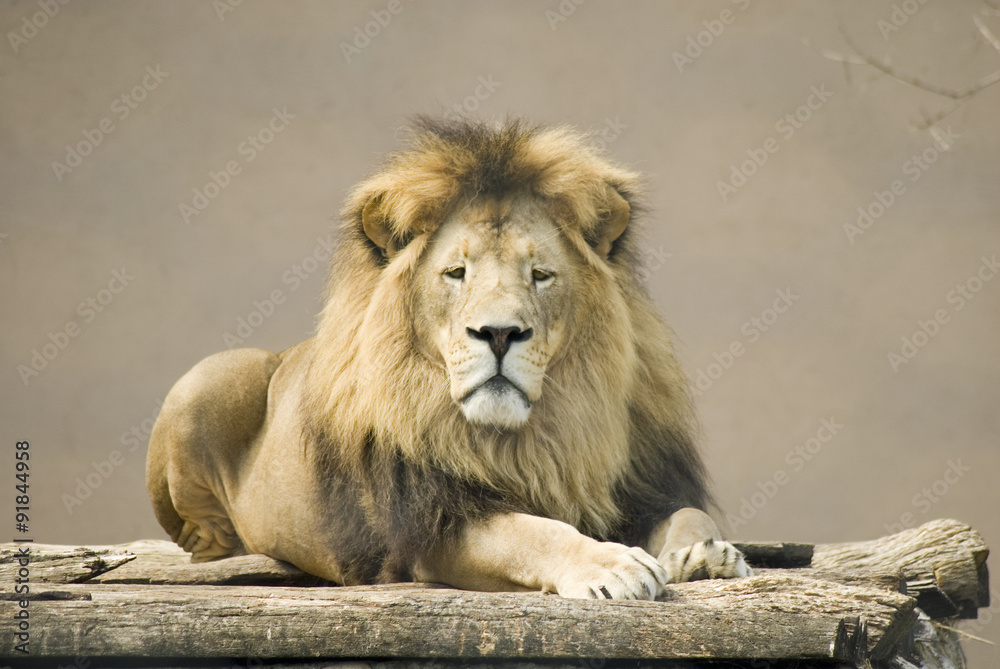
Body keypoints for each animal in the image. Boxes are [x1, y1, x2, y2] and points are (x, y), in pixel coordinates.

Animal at [146, 117, 751, 599]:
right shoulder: (432, 527)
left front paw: (705, 554)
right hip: (208, 377)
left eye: (541, 274)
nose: (500, 333)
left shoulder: (641, 488)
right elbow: (528, 532)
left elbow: (687, 513)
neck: (537, 438)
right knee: (199, 537)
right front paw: (611, 564)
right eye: (456, 273)